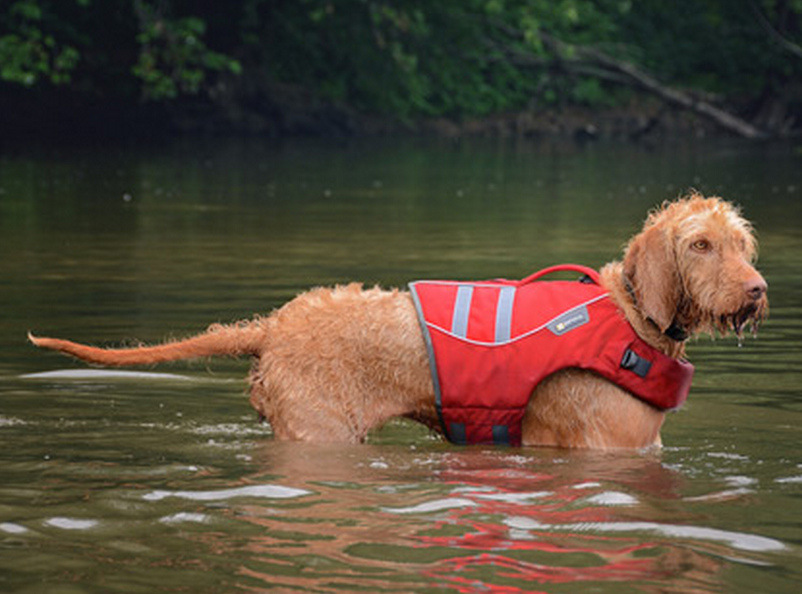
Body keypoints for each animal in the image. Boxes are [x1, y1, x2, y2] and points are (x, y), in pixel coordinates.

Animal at [29, 192, 764, 446]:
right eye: (699, 244)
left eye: (741, 242)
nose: (757, 291)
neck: (632, 313)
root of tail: (273, 324)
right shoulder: (605, 449)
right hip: (320, 432)